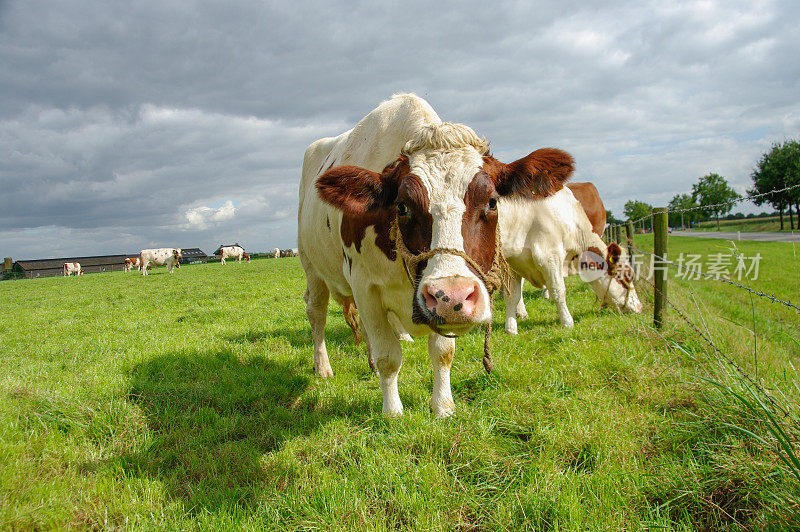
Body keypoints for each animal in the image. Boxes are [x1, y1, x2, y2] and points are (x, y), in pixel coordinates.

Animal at [300, 93, 576, 416]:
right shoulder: (364, 285)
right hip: (311, 265)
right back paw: (322, 366)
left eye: (492, 201)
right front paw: (392, 412)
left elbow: (443, 351)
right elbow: (388, 356)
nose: (453, 296)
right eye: (402, 206)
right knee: (316, 313)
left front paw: (443, 406)